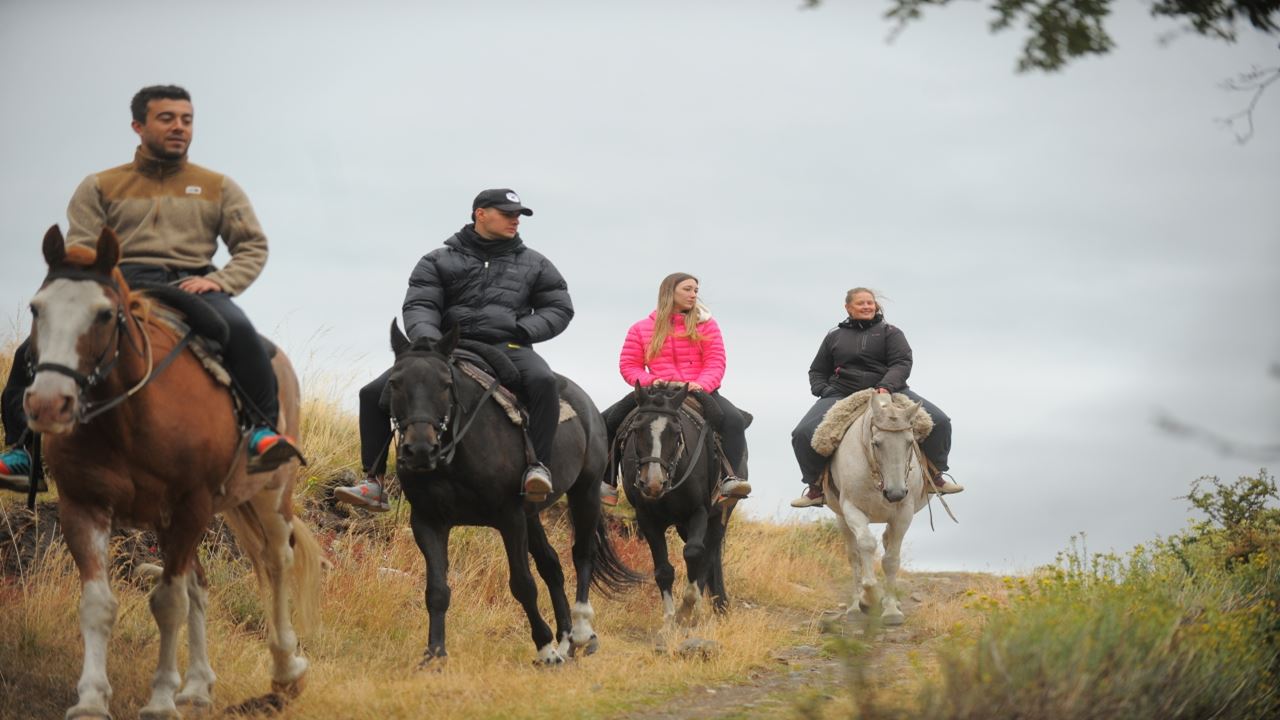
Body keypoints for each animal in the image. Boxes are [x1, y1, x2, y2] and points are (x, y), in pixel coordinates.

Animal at [24, 225, 322, 717]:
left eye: (104, 314)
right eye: (36, 307)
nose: (49, 403)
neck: (128, 417)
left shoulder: (189, 506)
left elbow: (167, 603)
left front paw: (160, 700)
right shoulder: (84, 506)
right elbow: (99, 604)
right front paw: (91, 699)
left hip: (269, 496)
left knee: (277, 561)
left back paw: (286, 670)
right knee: (198, 584)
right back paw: (198, 686)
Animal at [384, 322, 634, 666]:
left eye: (446, 384)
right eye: (394, 382)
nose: (420, 449)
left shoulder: (510, 519)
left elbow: (523, 585)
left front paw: (544, 648)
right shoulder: (428, 522)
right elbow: (436, 589)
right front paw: (434, 654)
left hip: (585, 492)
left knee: (582, 554)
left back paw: (581, 632)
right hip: (533, 515)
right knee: (552, 566)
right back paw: (566, 640)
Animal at [614, 381, 747, 622]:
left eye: (676, 431)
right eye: (637, 428)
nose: (653, 483)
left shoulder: (699, 511)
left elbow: (694, 553)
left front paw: (686, 611)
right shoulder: (647, 519)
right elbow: (663, 571)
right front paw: (669, 619)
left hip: (720, 515)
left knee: (709, 554)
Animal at [819, 389, 931, 620]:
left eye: (909, 442)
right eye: (877, 443)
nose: (895, 493)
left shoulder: (903, 513)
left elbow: (891, 559)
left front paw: (891, 611)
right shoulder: (851, 509)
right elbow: (866, 545)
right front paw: (868, 599)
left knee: (887, 543)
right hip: (841, 517)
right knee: (853, 555)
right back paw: (854, 607)